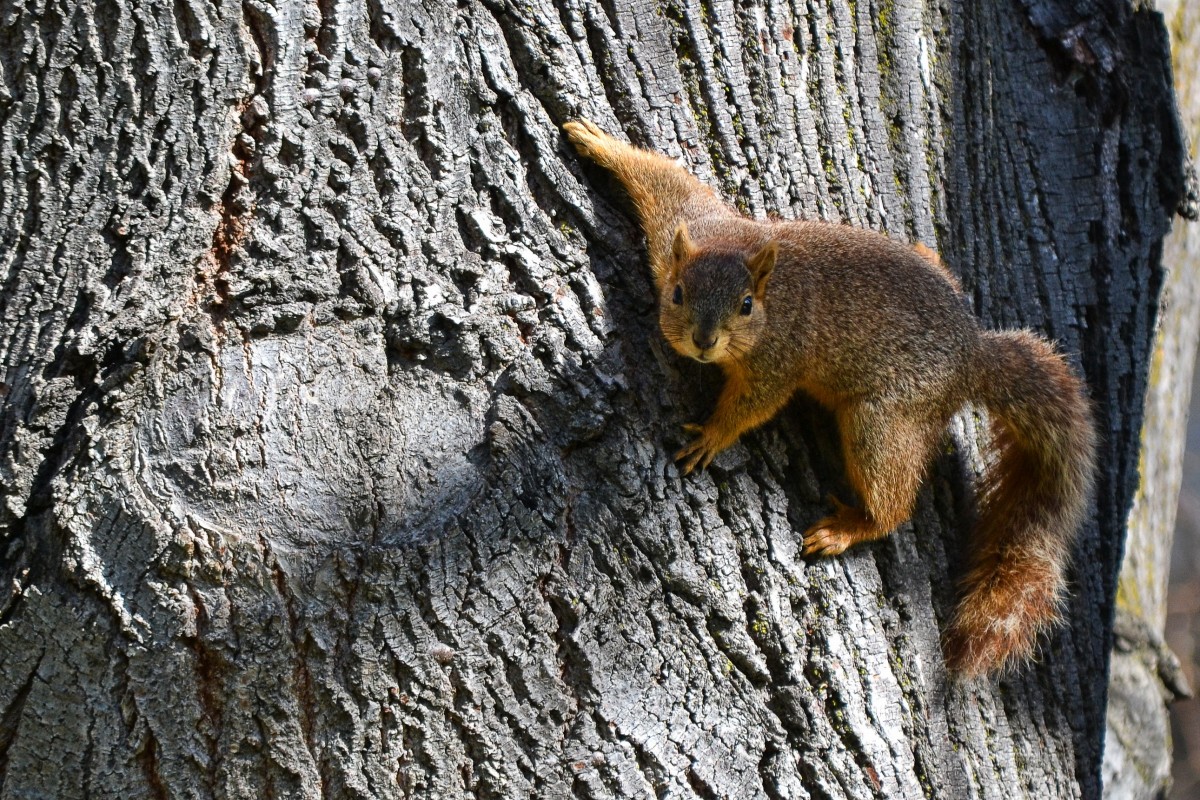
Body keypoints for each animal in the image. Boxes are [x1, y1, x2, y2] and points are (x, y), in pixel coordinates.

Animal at [561, 117, 1099, 676]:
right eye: (678, 294)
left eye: (746, 305)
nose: (704, 341)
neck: (772, 291)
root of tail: (973, 357)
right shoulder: (685, 227)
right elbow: (664, 180)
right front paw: (597, 141)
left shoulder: (779, 359)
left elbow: (756, 403)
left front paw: (712, 434)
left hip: (883, 419)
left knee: (892, 498)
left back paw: (851, 527)